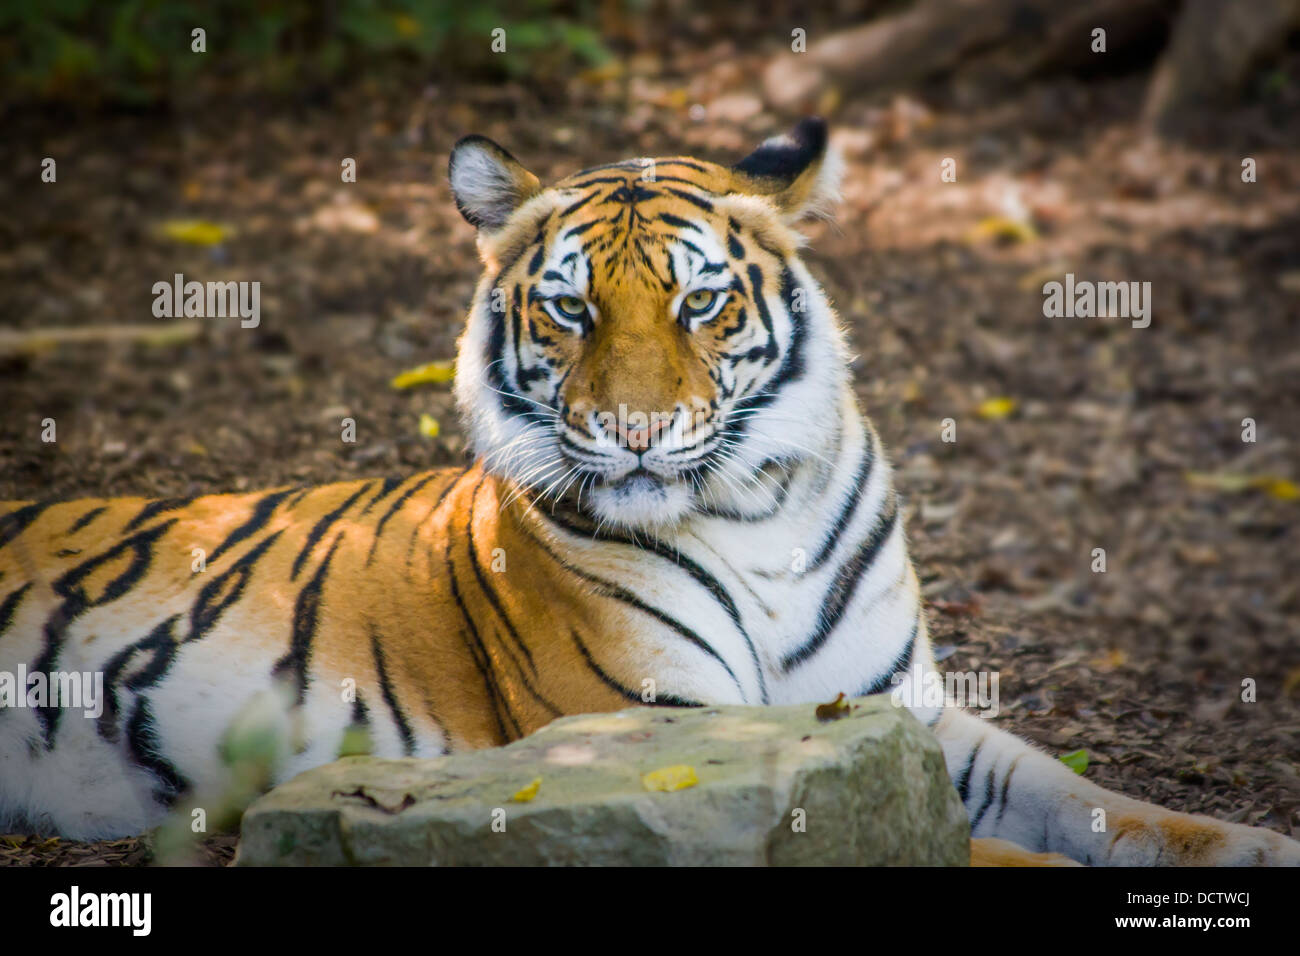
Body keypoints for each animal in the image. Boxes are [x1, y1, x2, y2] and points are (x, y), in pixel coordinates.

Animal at [2, 119, 1300, 868]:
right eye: (571, 309)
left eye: (699, 301)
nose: (631, 432)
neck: (760, 513)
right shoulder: (664, 736)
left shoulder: (903, 716)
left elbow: (1097, 803)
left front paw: (1253, 841)